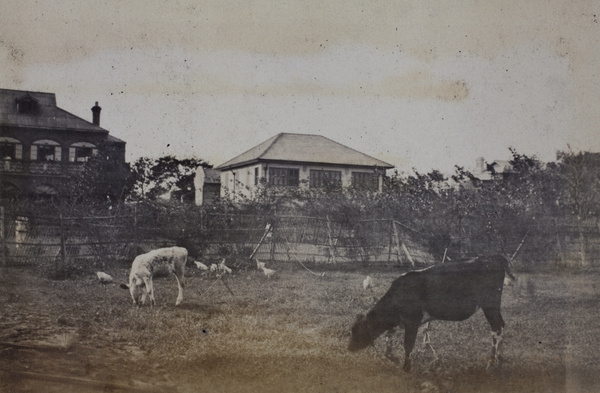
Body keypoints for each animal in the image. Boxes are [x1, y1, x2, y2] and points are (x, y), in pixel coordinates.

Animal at [350, 254, 512, 370]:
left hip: (490, 304)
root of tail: (492, 257)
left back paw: (492, 362)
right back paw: (500, 359)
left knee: (496, 329)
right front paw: (391, 356)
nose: (349, 348)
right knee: (501, 326)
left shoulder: (412, 321)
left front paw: (406, 367)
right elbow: (389, 338)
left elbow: (408, 344)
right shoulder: (398, 321)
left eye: (359, 331)